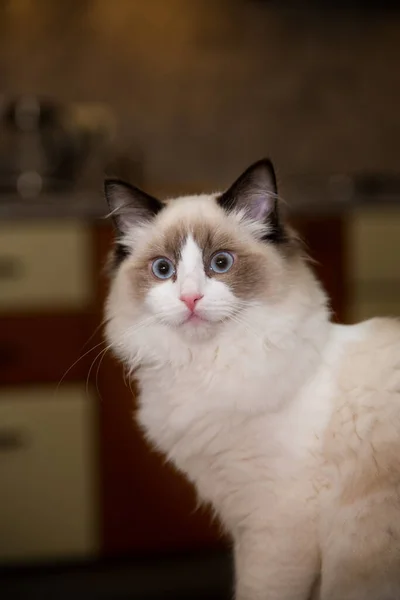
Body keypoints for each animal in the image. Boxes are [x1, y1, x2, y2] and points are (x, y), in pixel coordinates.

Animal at [104, 159, 400, 600]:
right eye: (163, 270)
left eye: (221, 264)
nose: (190, 298)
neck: (207, 368)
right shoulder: (244, 519)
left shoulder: (274, 526)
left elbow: (259, 590)